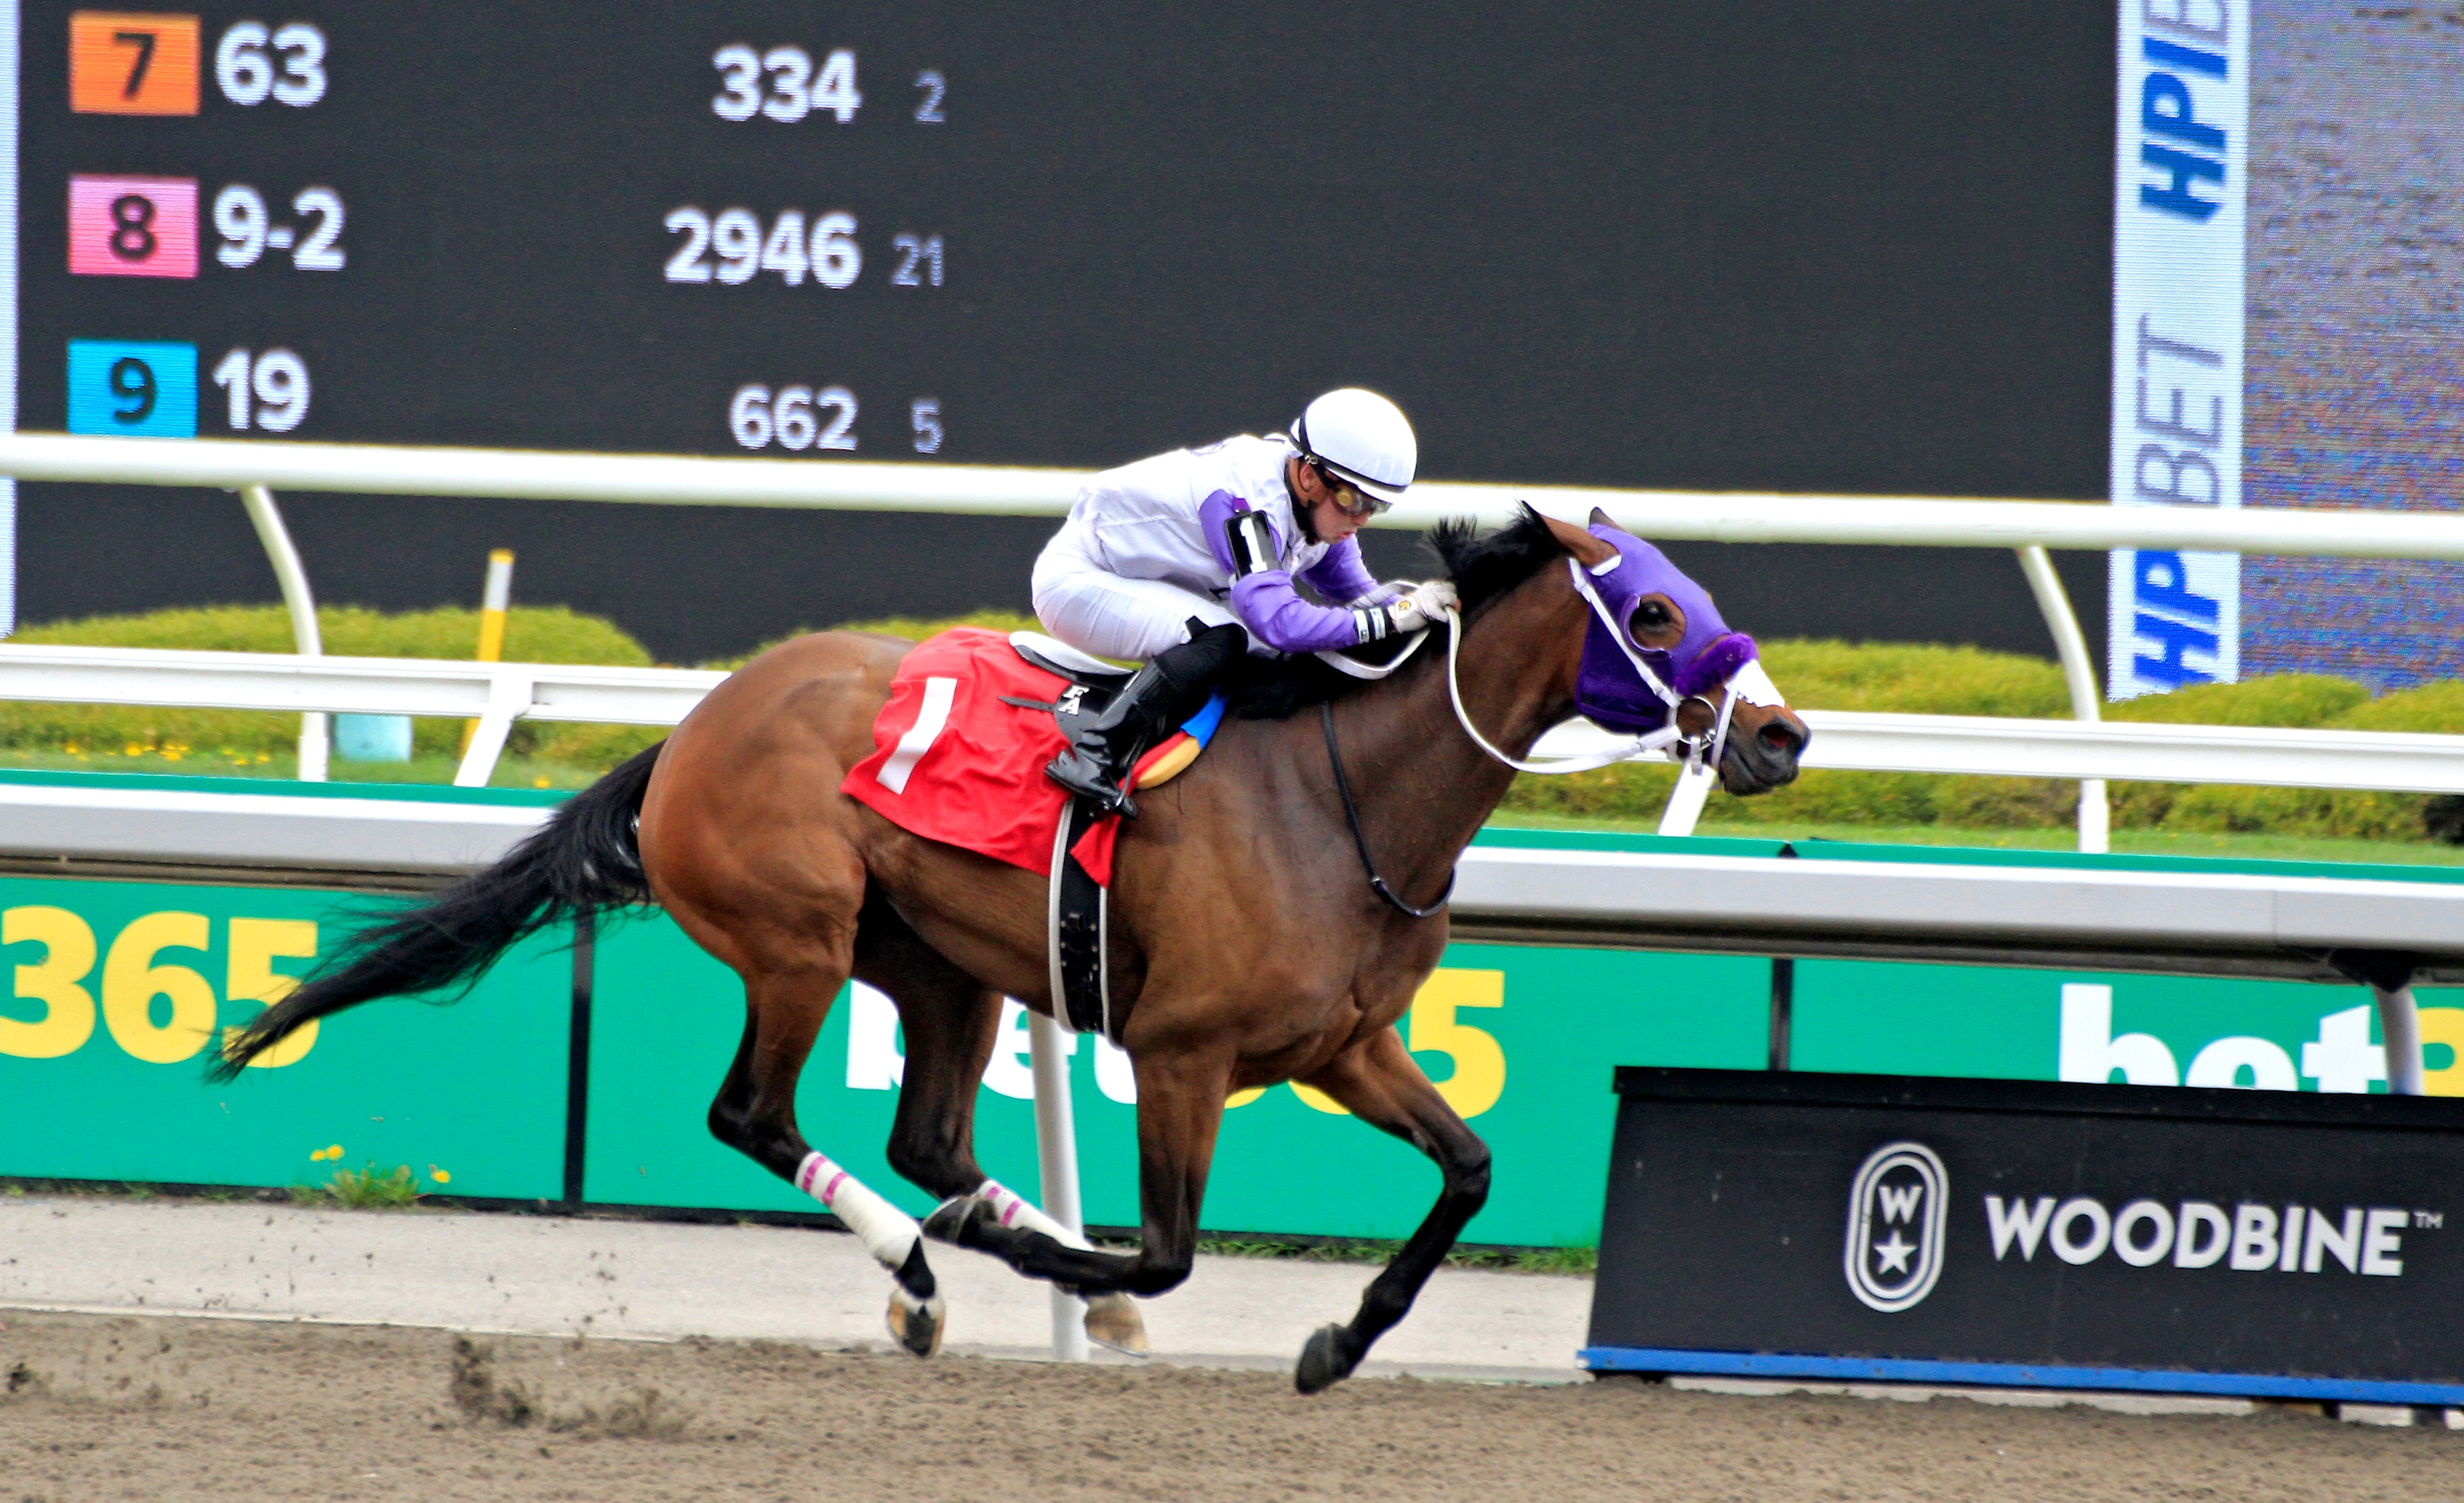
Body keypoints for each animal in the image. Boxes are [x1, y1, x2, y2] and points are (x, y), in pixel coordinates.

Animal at [216, 504, 1813, 1390]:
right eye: (1655, 608)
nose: (1786, 735)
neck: (1344, 797)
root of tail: (701, 722)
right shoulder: (1181, 1055)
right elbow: (1164, 1254)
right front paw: (1073, 1279)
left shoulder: (1346, 1045)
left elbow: (1469, 1171)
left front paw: (1338, 1343)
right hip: (798, 940)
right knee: (755, 1115)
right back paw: (926, 1273)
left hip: (940, 967)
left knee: (926, 1137)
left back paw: (968, 1241)